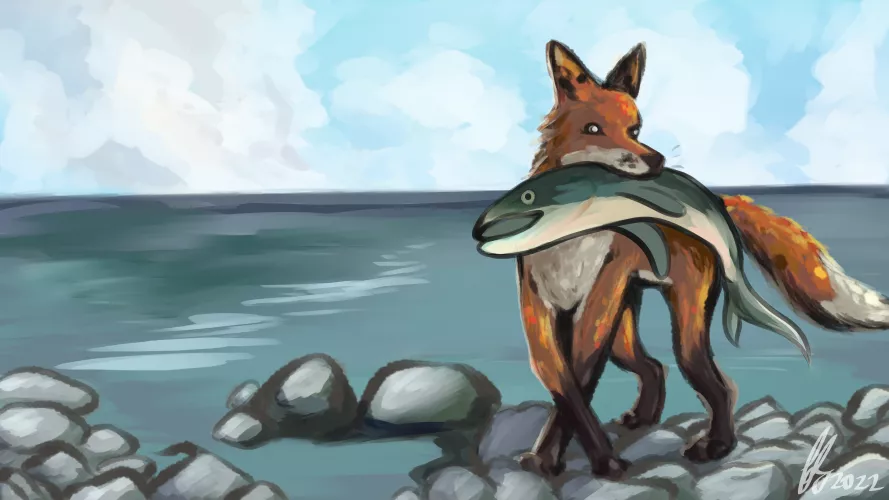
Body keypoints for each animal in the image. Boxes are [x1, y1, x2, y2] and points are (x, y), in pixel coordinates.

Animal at [514, 39, 889, 480]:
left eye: (635, 130)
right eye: (593, 129)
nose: (657, 161)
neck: (572, 243)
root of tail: (716, 200)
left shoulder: (595, 309)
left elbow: (580, 383)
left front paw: (601, 462)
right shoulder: (538, 311)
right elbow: (565, 386)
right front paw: (546, 459)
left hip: (680, 329)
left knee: (716, 386)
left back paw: (716, 446)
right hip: (624, 333)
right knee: (653, 366)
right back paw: (644, 418)